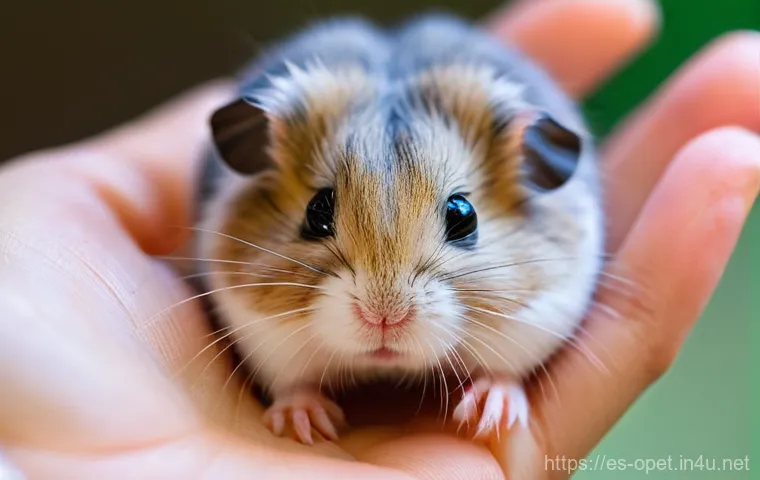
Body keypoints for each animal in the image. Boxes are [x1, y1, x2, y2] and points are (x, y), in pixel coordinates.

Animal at [193, 12, 604, 444]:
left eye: (464, 215)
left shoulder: (537, 318)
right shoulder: (264, 337)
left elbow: (505, 372)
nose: (383, 318)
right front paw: (304, 423)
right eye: (316, 211)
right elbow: (292, 383)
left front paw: (491, 415)